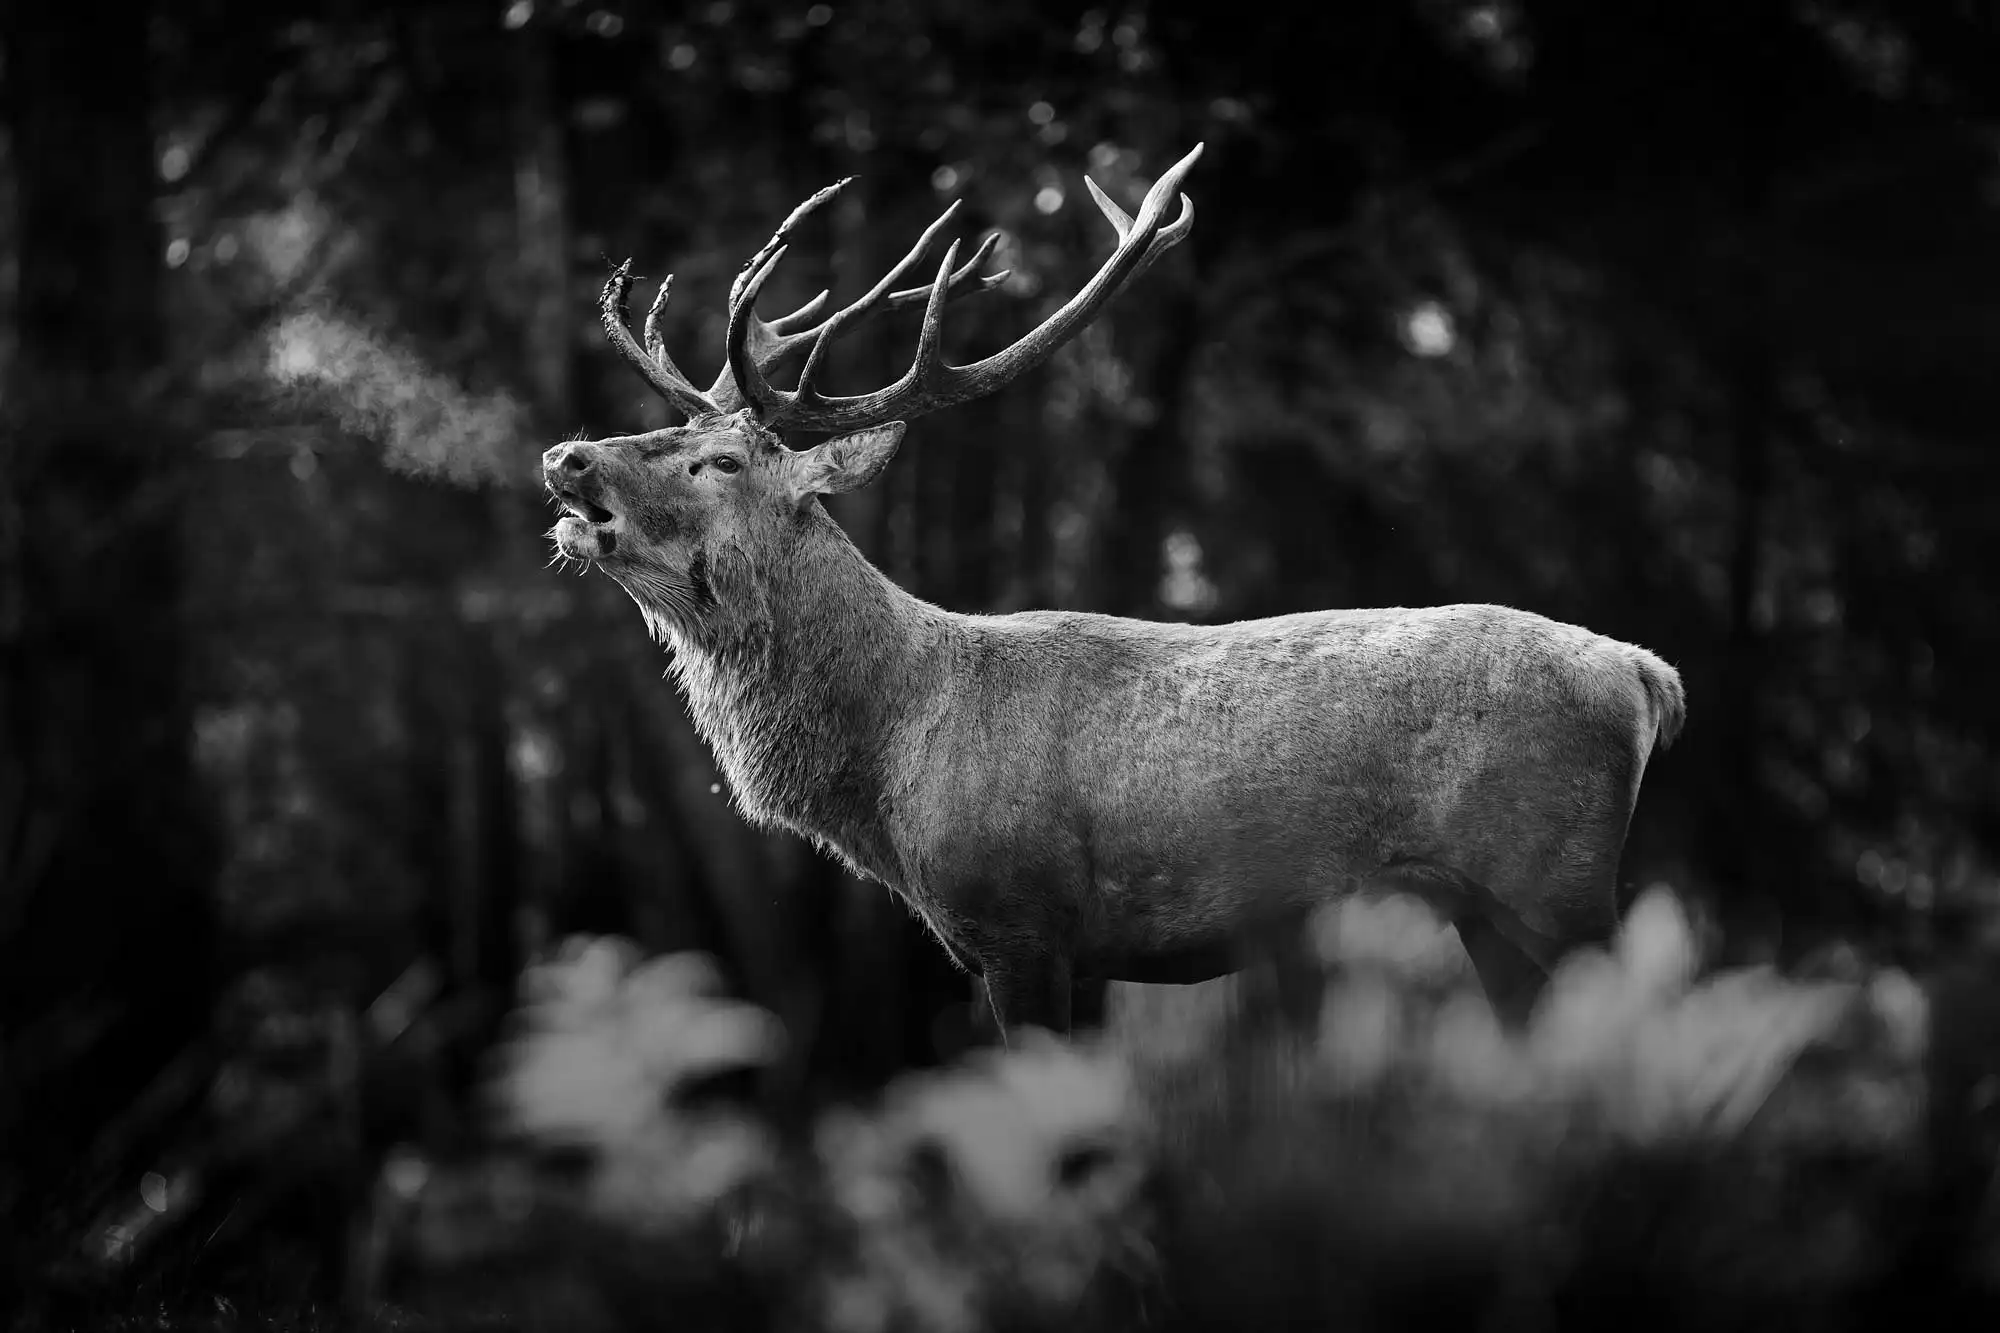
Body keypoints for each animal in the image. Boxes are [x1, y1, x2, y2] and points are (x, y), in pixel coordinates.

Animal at [541, 143, 1686, 1045]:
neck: (892, 770)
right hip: (1491, 912)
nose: (566, 455)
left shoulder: (1022, 925)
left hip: (1555, 883)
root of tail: (1643, 673)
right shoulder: (1064, 954)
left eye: (722, 461)